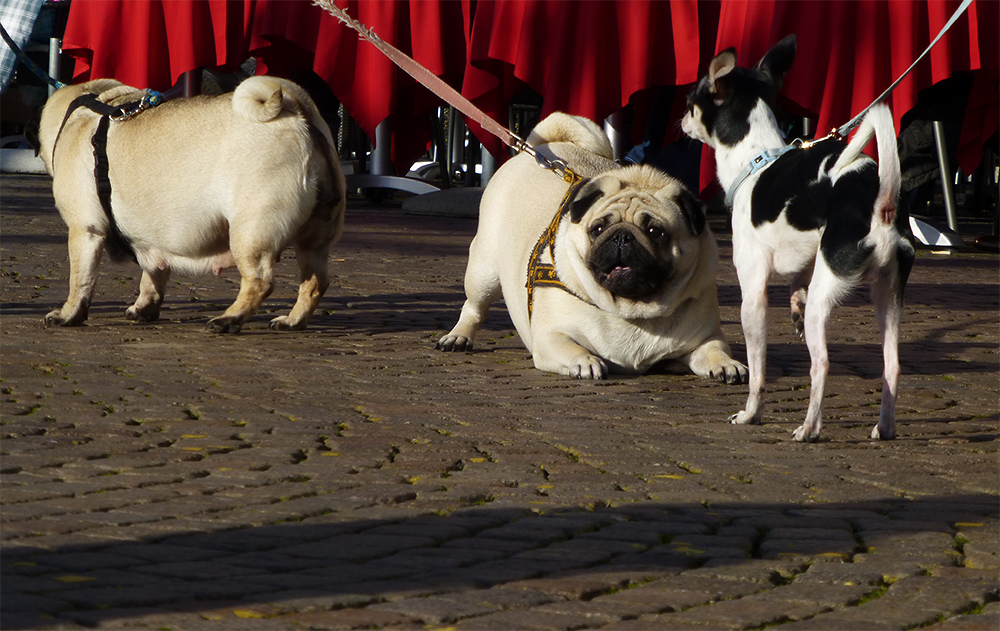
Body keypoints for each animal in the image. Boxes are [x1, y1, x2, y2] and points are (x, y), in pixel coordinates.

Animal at [680, 33, 916, 440]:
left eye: (691, 101)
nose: (680, 120)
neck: (756, 157)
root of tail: (882, 205)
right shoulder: (807, 257)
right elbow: (795, 283)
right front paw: (793, 302)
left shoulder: (753, 293)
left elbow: (757, 368)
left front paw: (751, 413)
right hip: (887, 297)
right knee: (892, 364)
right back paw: (884, 427)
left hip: (829, 295)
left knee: (821, 363)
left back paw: (809, 428)